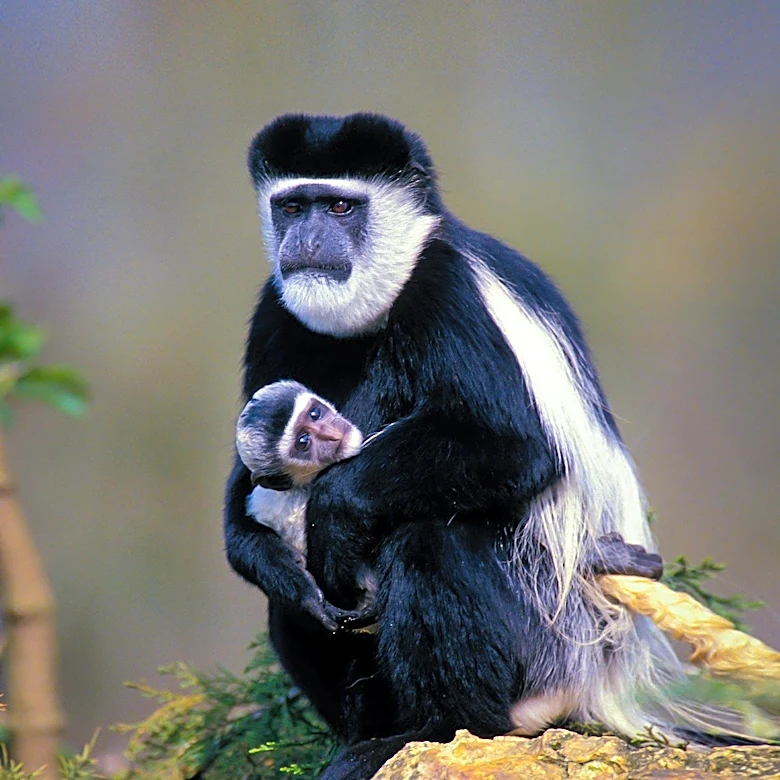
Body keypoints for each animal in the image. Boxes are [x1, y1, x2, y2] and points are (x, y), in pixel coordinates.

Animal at [223, 113, 745, 779]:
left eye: (340, 206)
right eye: (292, 207)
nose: (308, 241)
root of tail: (602, 679)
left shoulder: (447, 292)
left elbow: (517, 448)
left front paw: (334, 512)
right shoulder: (275, 307)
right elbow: (248, 477)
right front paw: (278, 564)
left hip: (548, 630)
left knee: (430, 539)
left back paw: (442, 727)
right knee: (288, 604)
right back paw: (365, 733)